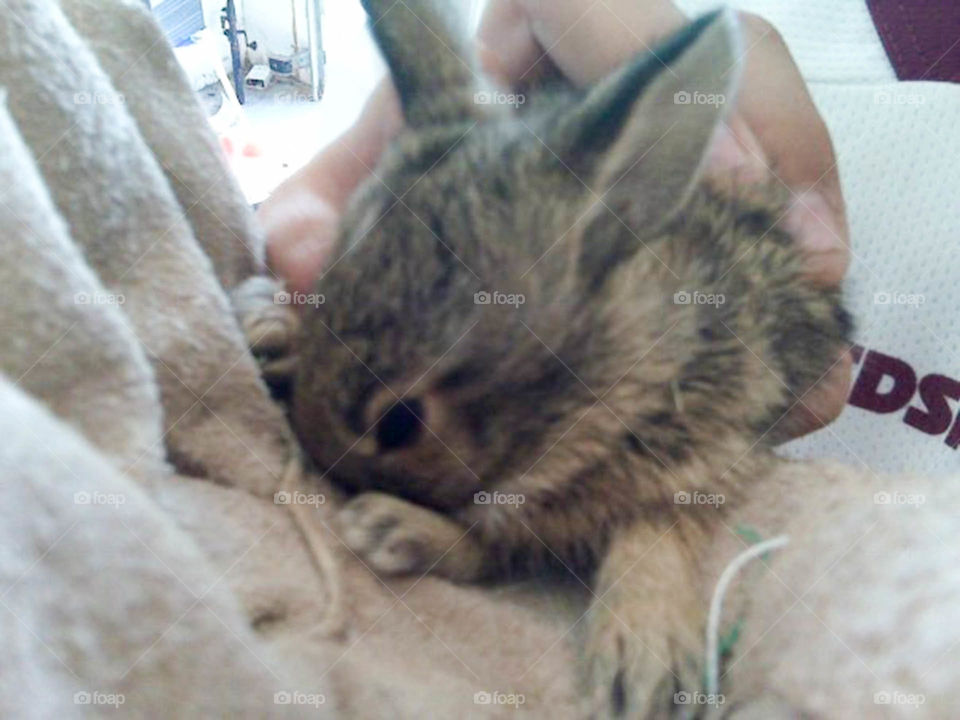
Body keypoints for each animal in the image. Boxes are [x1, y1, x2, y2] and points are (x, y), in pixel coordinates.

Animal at [280, 2, 856, 716]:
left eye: (400, 422)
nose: (321, 460)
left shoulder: (722, 434)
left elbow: (659, 523)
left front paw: (644, 663)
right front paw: (393, 528)